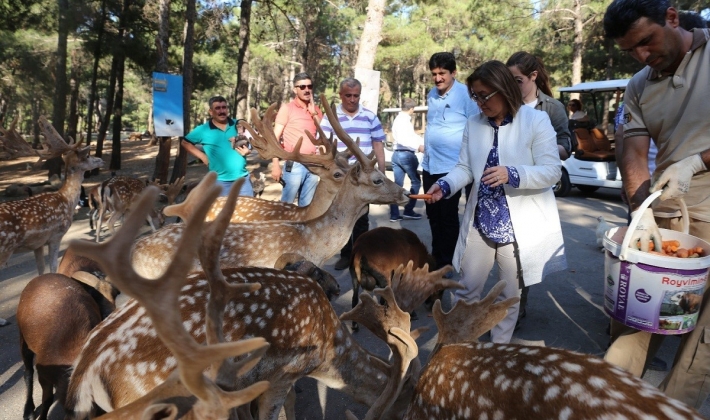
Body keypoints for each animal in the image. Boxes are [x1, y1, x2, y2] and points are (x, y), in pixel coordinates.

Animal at [0, 117, 103, 276]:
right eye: (87, 156)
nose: (101, 160)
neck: (67, 200)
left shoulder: (38, 244)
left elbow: (41, 269)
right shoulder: (56, 235)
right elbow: (53, 267)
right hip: (4, 249)